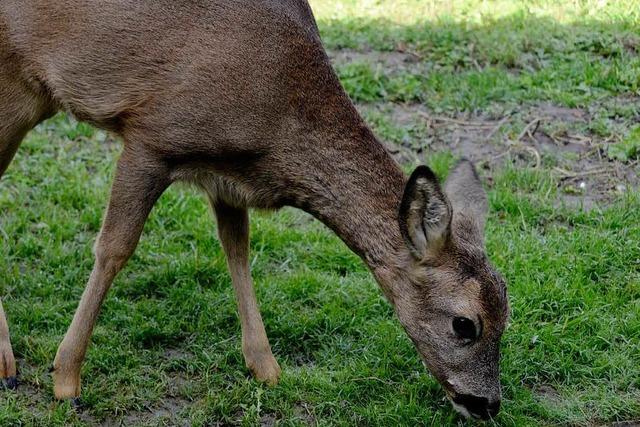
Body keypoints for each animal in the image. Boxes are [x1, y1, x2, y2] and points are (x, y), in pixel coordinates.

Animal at [1, 0, 510, 422]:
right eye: (465, 324)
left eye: (507, 310)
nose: (487, 404)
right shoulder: (152, 137)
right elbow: (114, 250)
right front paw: (66, 379)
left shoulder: (226, 179)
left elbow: (238, 250)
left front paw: (265, 366)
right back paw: (9, 364)